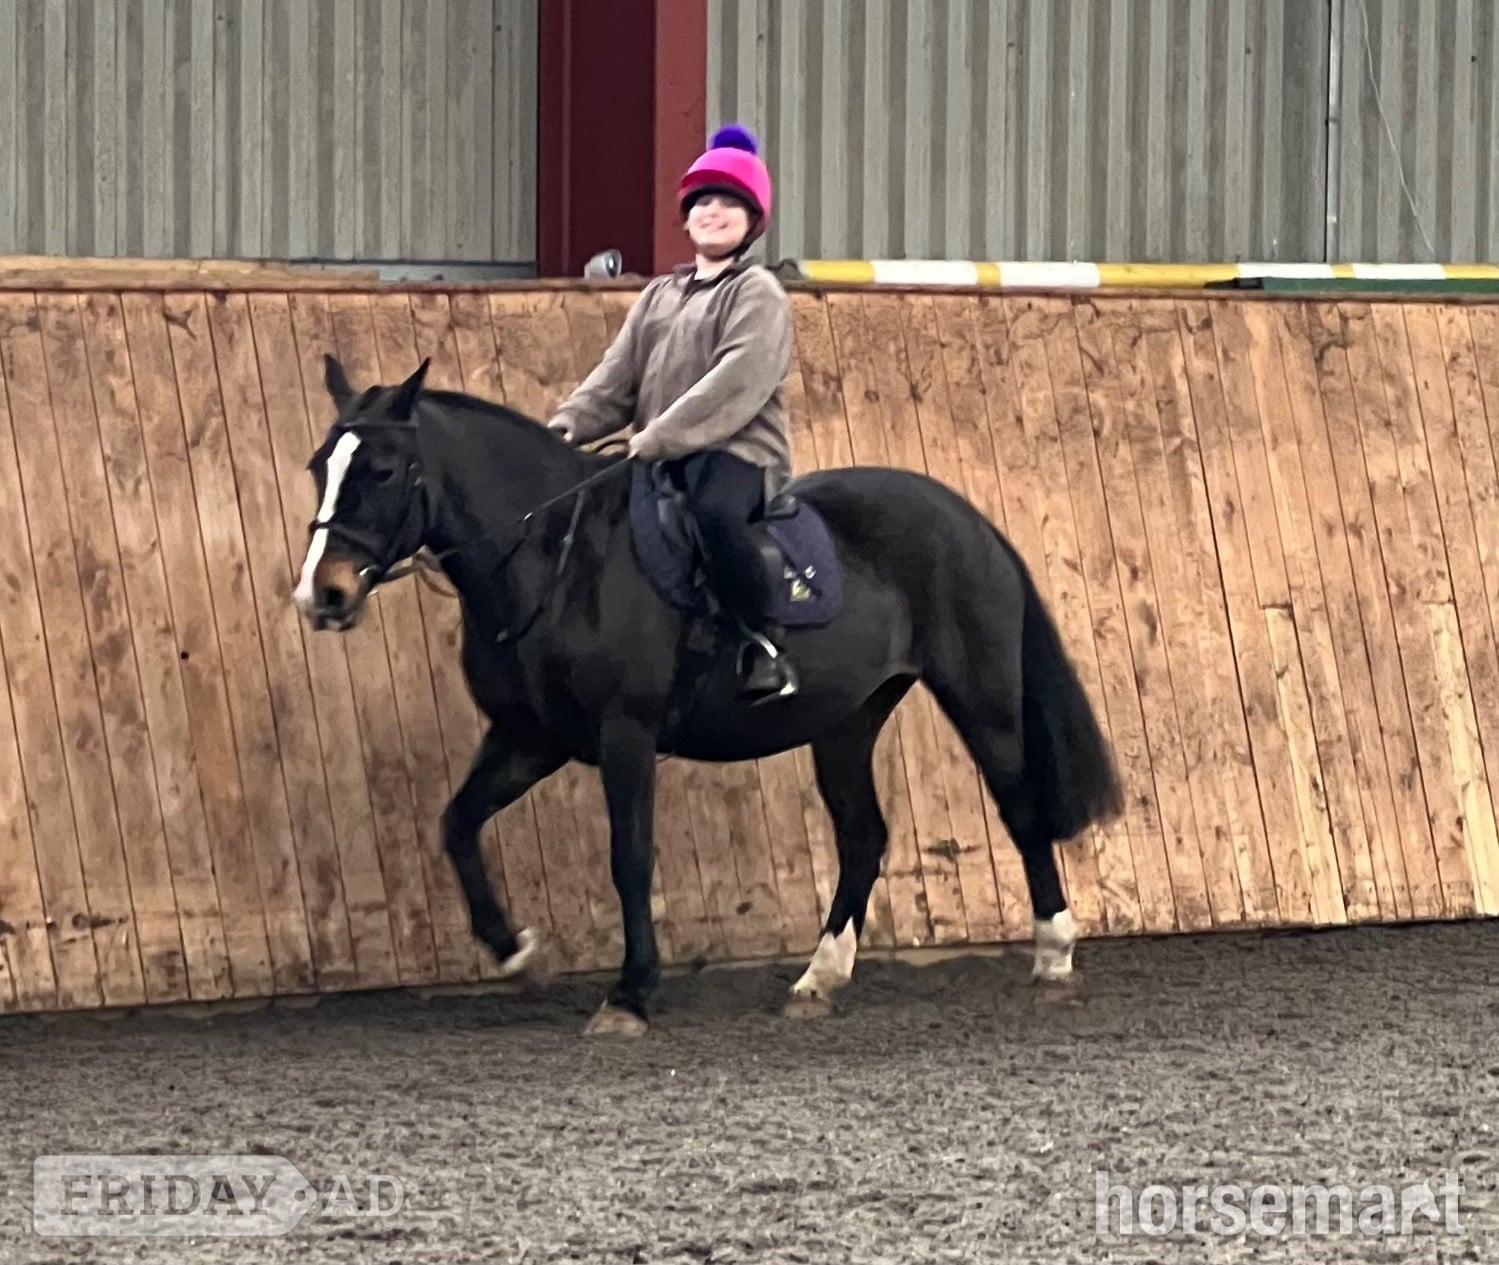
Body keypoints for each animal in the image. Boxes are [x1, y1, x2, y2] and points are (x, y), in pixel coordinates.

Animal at [292, 353, 1125, 1036]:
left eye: (384, 469)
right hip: (847, 720)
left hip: (981, 697)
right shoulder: (529, 737)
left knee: (1018, 806)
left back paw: (1053, 954)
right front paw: (515, 952)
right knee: (862, 835)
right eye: (318, 466)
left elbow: (629, 856)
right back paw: (818, 978)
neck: (557, 558)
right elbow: (458, 824)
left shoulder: (624, 735)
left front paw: (629, 994)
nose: (320, 595)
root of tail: (964, 516)